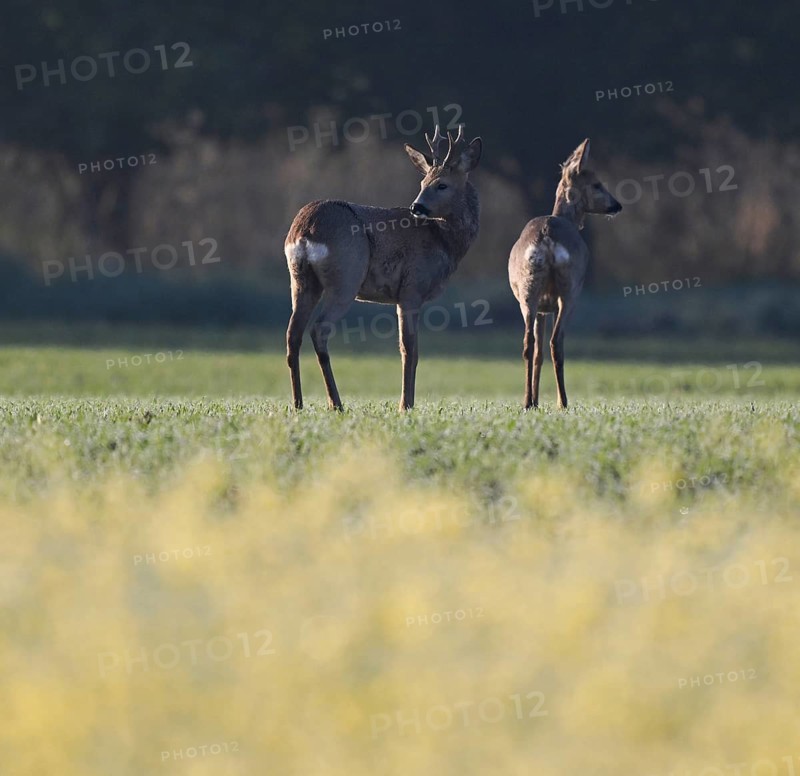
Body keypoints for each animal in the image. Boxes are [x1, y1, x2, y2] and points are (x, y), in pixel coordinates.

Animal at [285, 125, 482, 411]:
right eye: (423, 183)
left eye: (441, 184)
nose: (416, 206)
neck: (442, 239)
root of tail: (304, 230)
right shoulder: (412, 288)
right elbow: (409, 349)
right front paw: (406, 405)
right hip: (345, 278)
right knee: (319, 329)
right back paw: (336, 403)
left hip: (301, 279)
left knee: (293, 333)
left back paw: (298, 403)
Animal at [508, 139, 622, 410]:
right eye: (597, 183)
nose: (617, 205)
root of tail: (547, 237)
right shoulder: (559, 300)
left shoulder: (541, 307)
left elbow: (537, 353)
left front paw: (535, 400)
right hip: (570, 291)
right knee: (556, 342)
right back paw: (563, 401)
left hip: (528, 290)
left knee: (529, 344)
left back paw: (527, 402)